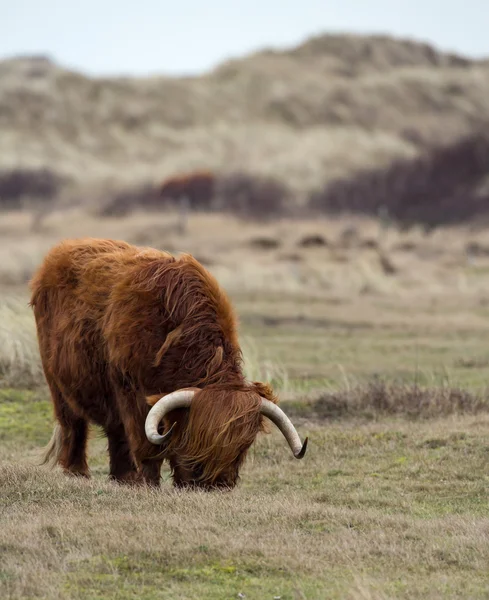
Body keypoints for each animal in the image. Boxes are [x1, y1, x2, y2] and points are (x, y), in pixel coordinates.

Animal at [29, 237, 304, 490]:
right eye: (195, 437)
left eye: (242, 448)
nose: (215, 485)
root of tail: (66, 246)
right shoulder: (132, 393)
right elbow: (146, 444)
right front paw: (149, 484)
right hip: (58, 385)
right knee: (73, 427)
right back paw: (79, 474)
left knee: (115, 434)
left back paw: (123, 479)